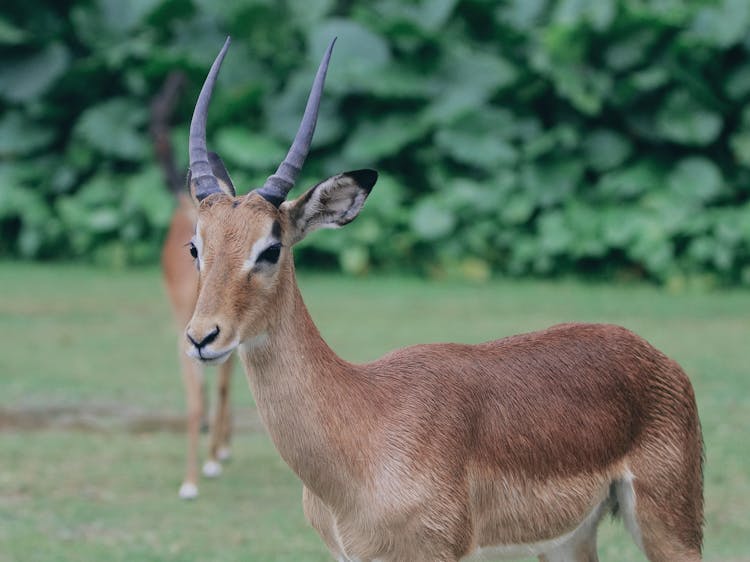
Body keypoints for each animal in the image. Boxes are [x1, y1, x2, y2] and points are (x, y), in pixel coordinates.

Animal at [181, 36, 704, 560]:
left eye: (270, 248)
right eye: (195, 246)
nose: (203, 337)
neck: (365, 423)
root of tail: (655, 356)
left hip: (672, 530)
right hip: (568, 540)